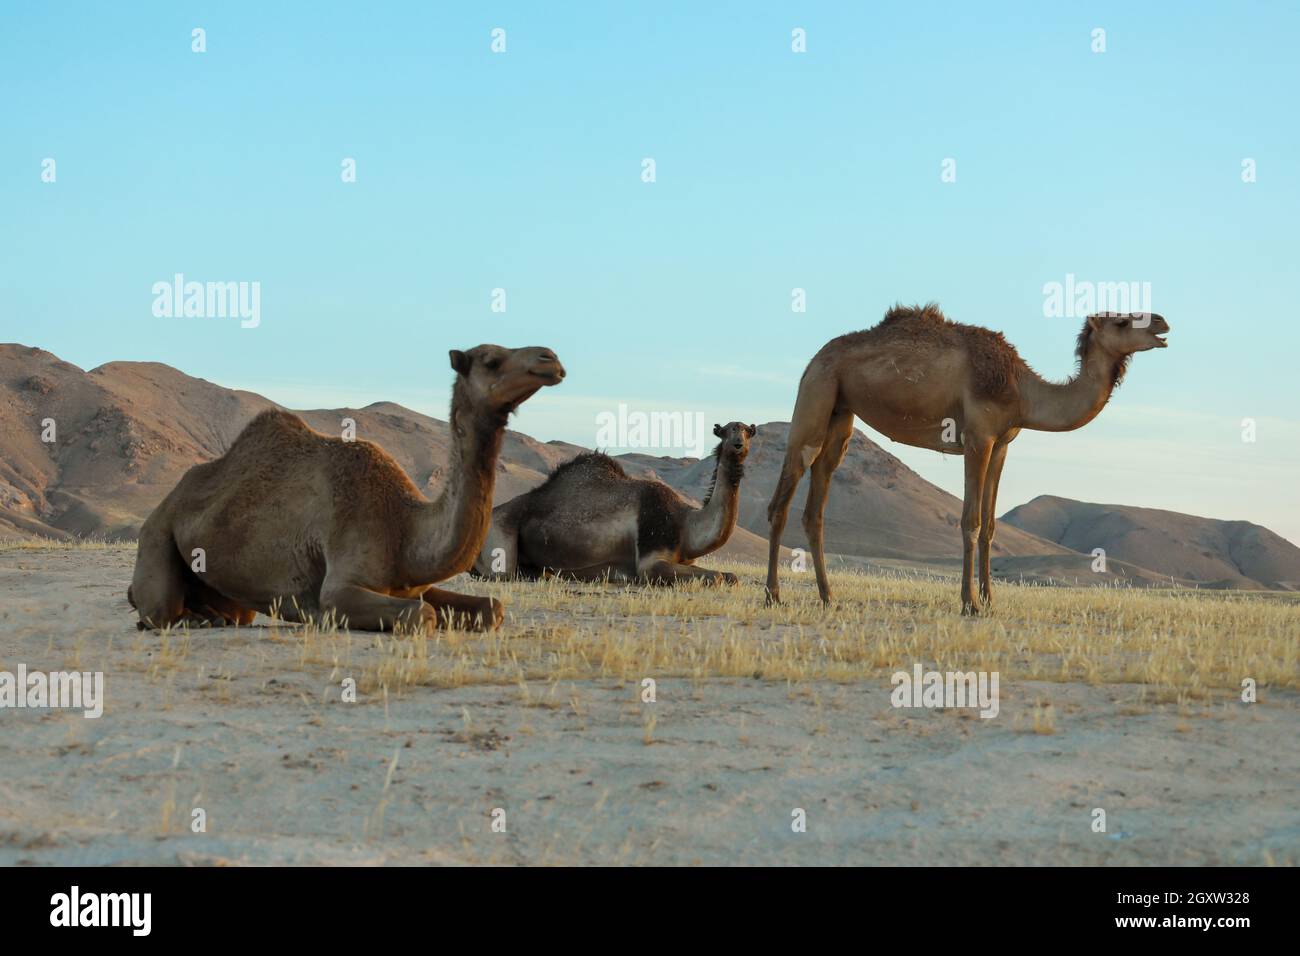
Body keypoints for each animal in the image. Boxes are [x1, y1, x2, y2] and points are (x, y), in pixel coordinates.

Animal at [125, 345, 564, 634]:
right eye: (492, 360)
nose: (551, 359)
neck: (405, 528)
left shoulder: (410, 583)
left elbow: (492, 608)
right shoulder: (339, 587)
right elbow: (420, 616)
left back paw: (212, 616)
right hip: (157, 533)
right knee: (157, 610)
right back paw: (191, 620)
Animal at [473, 424, 759, 587]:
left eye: (747, 430)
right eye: (727, 430)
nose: (738, 444)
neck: (685, 524)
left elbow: (730, 576)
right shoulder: (650, 560)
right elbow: (719, 577)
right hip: (500, 537)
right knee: (500, 572)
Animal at [764, 308, 1175, 621]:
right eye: (1122, 321)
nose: (1162, 322)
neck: (1023, 393)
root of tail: (814, 359)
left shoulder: (1002, 444)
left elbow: (991, 526)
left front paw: (991, 599)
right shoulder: (979, 437)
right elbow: (971, 521)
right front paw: (970, 603)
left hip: (841, 413)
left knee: (815, 506)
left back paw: (828, 597)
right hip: (816, 397)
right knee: (781, 502)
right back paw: (773, 595)